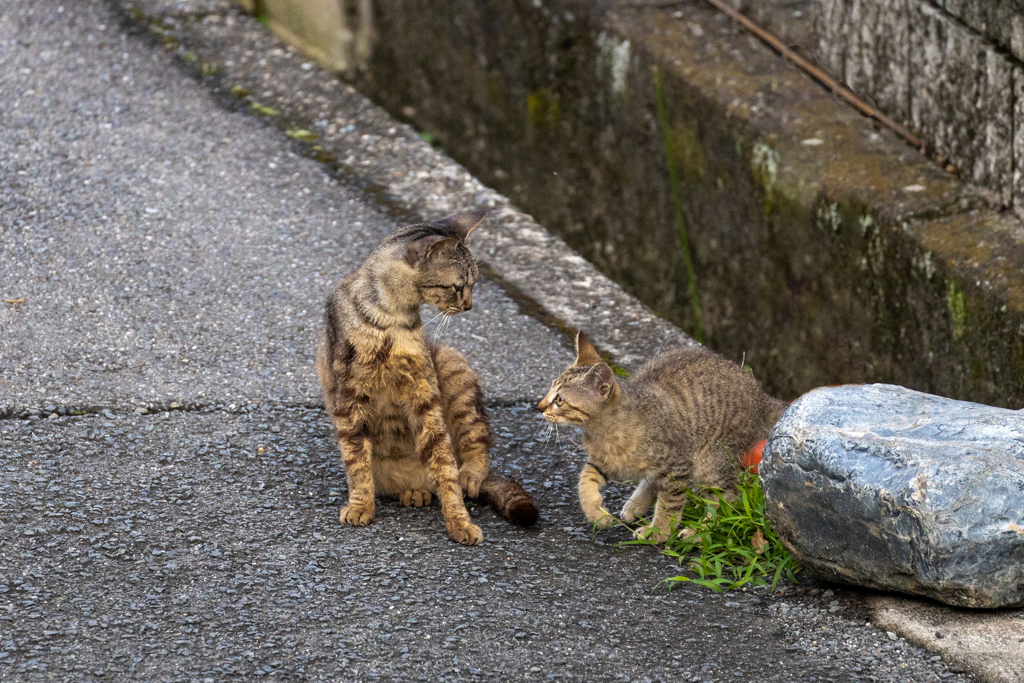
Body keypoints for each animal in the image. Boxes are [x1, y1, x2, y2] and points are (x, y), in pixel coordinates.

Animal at [315, 209, 540, 544]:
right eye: (457, 286)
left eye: (474, 283)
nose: (469, 305)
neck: (392, 319)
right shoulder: (349, 397)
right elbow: (356, 462)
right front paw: (360, 506)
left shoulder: (424, 393)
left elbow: (444, 467)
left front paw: (460, 522)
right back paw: (413, 492)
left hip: (453, 370)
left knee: (475, 445)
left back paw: (466, 476)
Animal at [540, 331, 786, 540]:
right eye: (549, 389)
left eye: (559, 400)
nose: (539, 406)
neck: (603, 433)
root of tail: (760, 396)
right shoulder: (603, 461)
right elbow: (585, 480)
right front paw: (595, 513)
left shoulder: (678, 464)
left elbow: (670, 503)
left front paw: (659, 531)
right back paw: (636, 505)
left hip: (712, 460)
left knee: (729, 496)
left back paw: (701, 530)